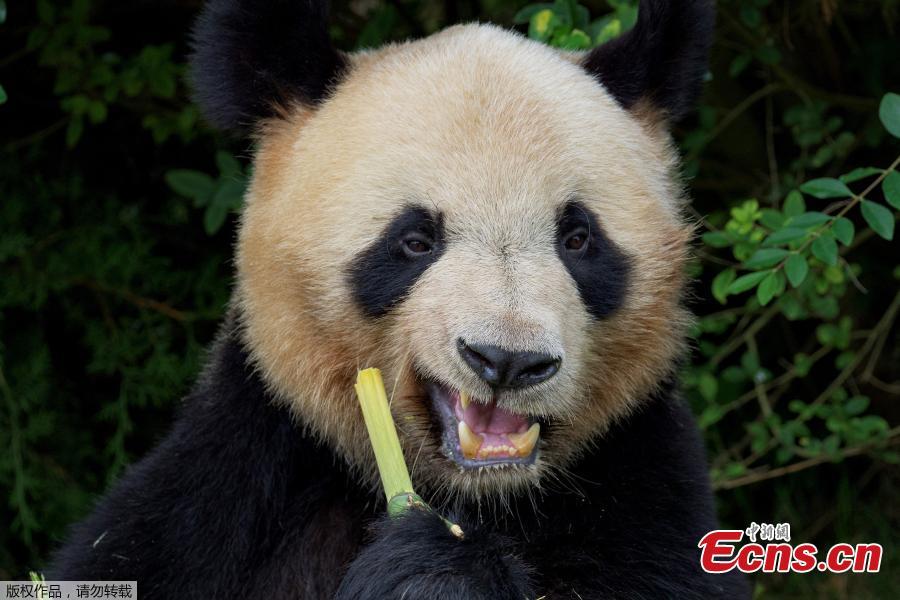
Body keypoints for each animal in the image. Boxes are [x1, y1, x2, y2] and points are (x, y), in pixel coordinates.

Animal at [50, 0, 751, 598]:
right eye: (414, 240)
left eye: (578, 237)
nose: (508, 361)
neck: (480, 498)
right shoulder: (233, 480)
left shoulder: (640, 481)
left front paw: (434, 573)